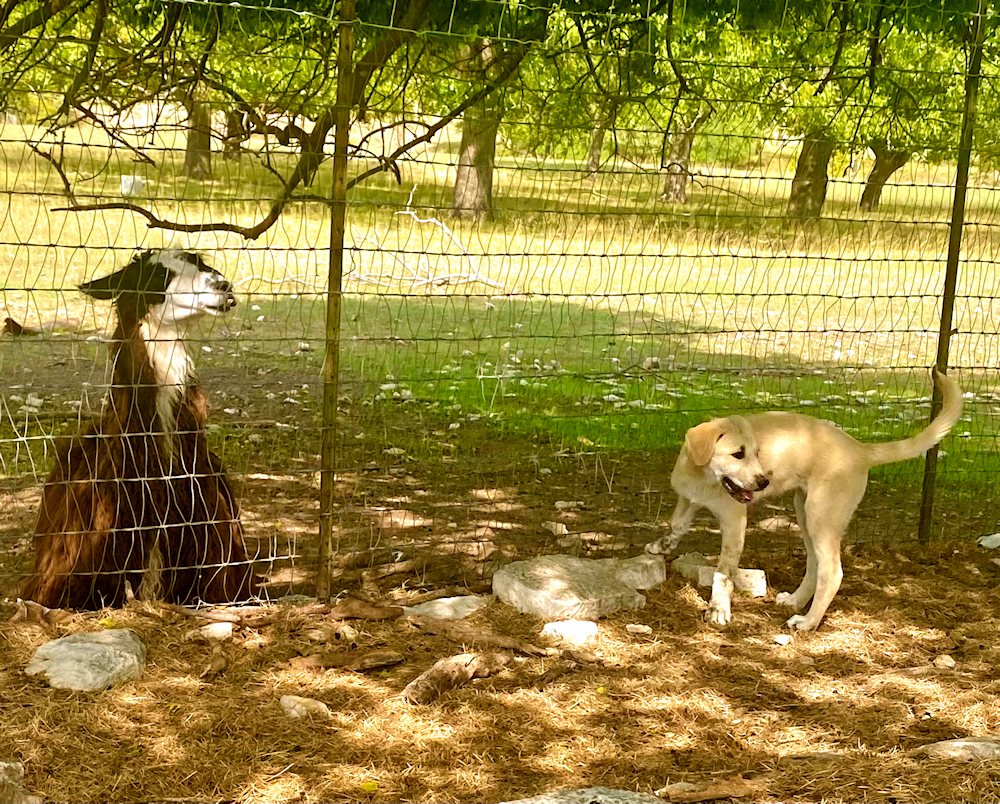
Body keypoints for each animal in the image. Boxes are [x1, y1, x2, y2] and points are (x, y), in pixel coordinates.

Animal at [644, 374, 964, 632]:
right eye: (738, 454)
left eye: (757, 453)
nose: (764, 482)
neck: (703, 477)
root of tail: (860, 449)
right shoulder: (688, 497)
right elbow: (678, 523)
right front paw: (661, 545)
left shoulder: (735, 520)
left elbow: (724, 571)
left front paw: (719, 609)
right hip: (805, 512)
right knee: (815, 565)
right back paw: (796, 600)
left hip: (821, 515)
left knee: (831, 572)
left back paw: (808, 622)